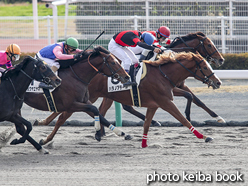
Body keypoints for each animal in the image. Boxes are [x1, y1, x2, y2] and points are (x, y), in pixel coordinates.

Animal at [35, 50, 223, 147]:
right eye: (205, 67)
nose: (218, 82)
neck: (163, 74)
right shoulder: (165, 102)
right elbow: (183, 119)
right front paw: (204, 136)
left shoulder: (155, 103)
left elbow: (147, 122)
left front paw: (144, 142)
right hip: (90, 97)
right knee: (64, 116)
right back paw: (46, 133)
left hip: (98, 97)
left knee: (94, 111)